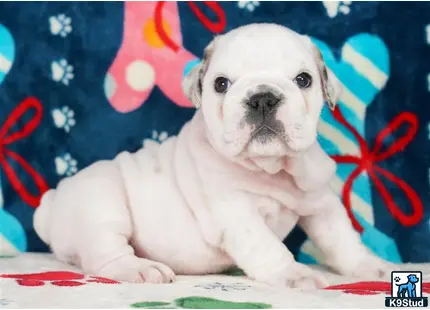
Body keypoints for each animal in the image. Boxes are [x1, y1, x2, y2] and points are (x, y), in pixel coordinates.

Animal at [33, 23, 394, 288]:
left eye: (303, 79)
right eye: (221, 84)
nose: (263, 97)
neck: (271, 169)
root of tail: (51, 205)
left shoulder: (321, 203)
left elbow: (343, 241)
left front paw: (373, 267)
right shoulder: (236, 215)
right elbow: (268, 246)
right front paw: (295, 274)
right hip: (102, 201)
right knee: (104, 253)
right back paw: (140, 269)